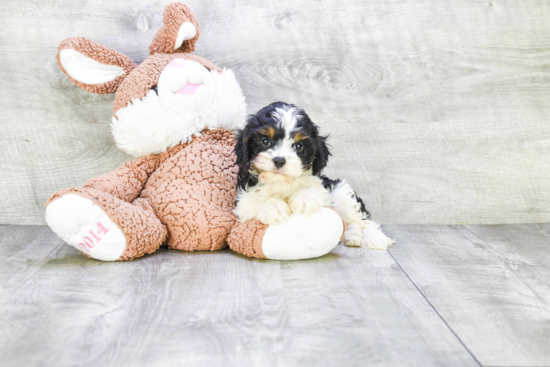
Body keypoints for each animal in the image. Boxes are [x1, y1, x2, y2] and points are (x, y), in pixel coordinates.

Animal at [235, 102, 394, 250]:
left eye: (298, 146)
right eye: (265, 141)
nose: (279, 160)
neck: (281, 182)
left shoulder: (323, 189)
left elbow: (313, 189)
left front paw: (305, 199)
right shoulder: (241, 199)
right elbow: (253, 200)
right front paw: (274, 207)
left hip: (342, 193)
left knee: (362, 220)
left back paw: (375, 238)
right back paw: (351, 236)